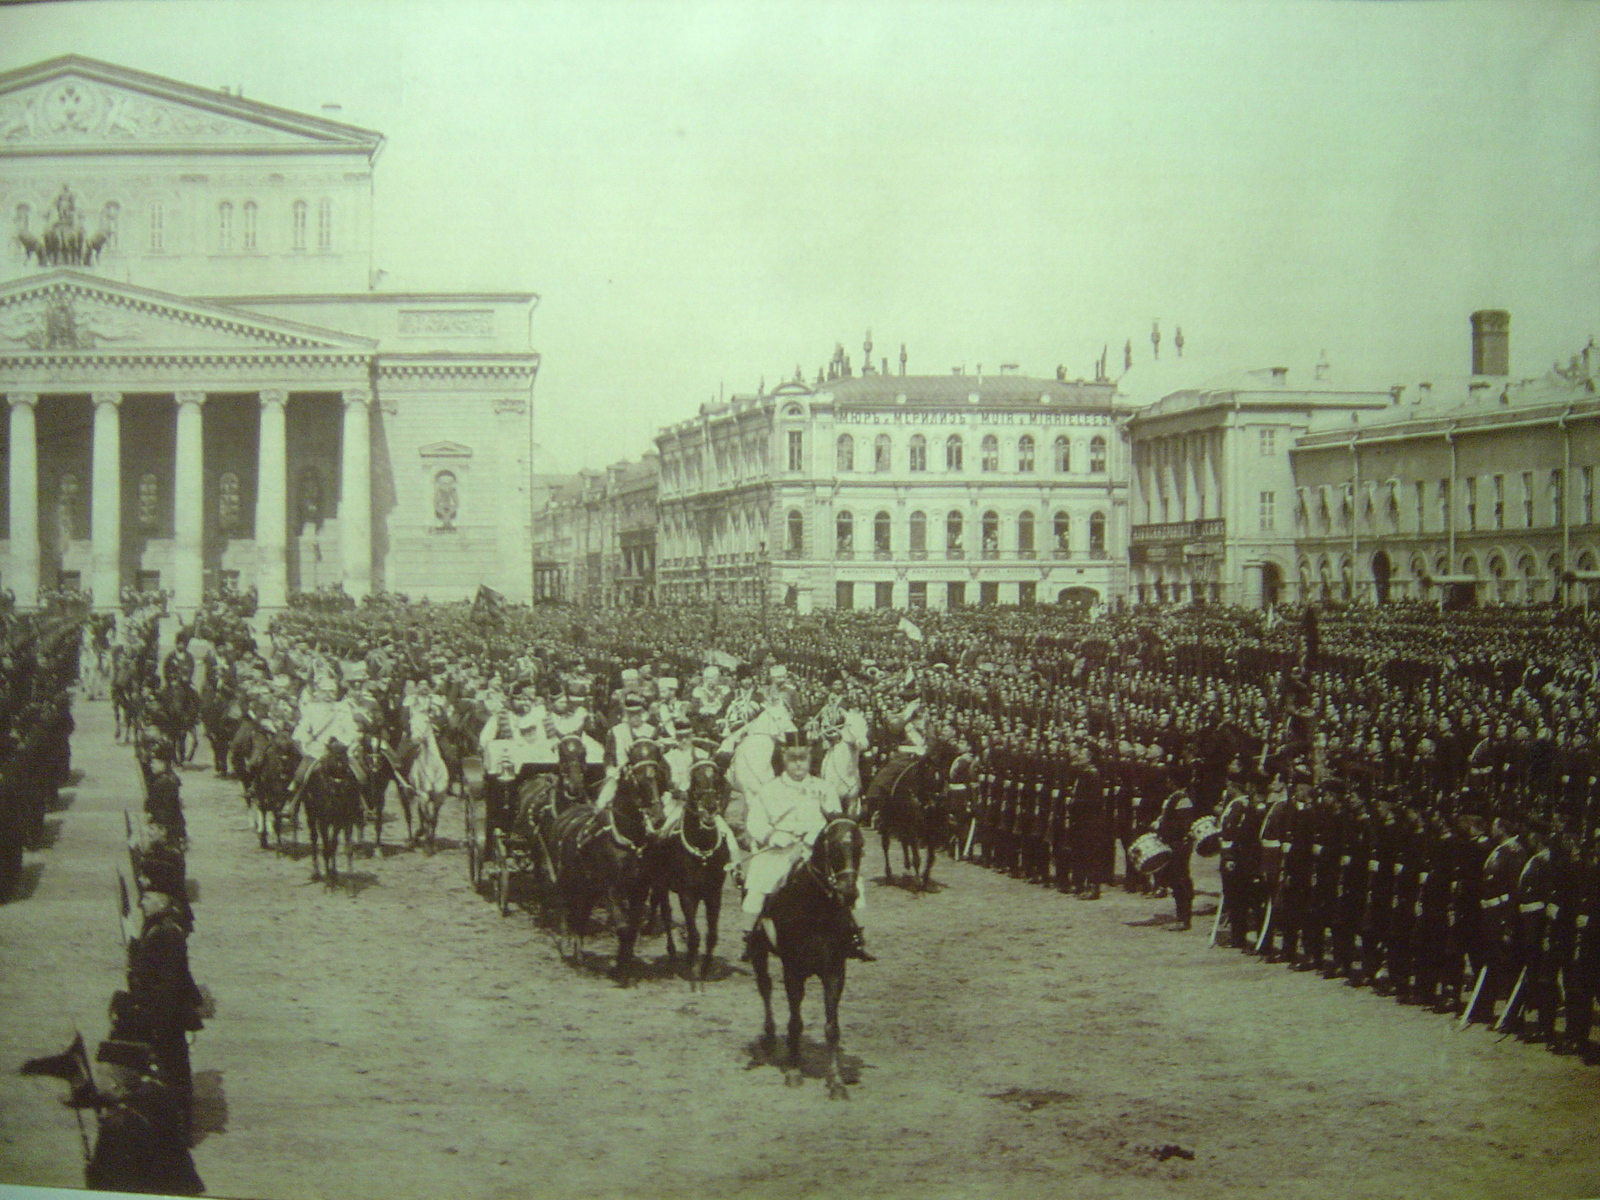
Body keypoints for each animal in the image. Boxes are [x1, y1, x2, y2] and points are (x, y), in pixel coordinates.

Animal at [745, 819, 864, 1100]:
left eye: (860, 846)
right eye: (833, 845)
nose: (849, 893)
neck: (816, 909)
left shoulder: (835, 971)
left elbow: (832, 1028)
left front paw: (837, 1082)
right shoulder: (793, 971)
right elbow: (795, 1023)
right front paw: (793, 1071)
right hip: (758, 952)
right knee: (765, 987)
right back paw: (769, 1036)